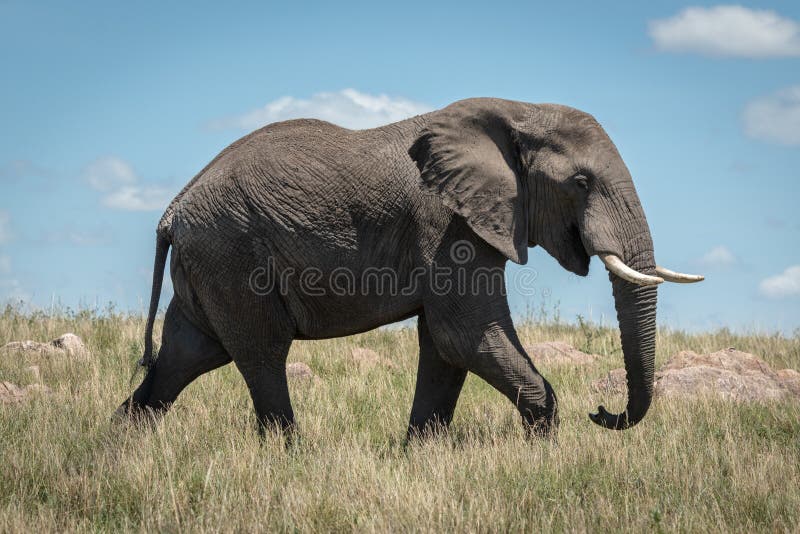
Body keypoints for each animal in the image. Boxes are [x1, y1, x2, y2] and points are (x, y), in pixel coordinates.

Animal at [116, 97, 703, 438]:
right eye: (581, 183)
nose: (602, 412)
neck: (517, 110)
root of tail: (173, 209)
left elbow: (443, 345)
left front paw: (420, 451)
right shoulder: (447, 223)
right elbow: (463, 333)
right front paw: (544, 449)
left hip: (208, 265)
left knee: (184, 357)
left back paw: (120, 449)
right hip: (231, 256)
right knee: (261, 354)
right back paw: (290, 454)